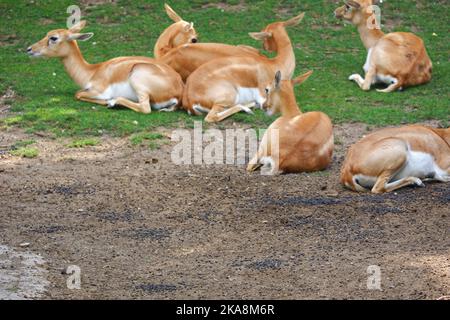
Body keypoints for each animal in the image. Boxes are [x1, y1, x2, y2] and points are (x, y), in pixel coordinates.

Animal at [27, 21, 183, 114]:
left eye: (53, 38)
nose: (29, 49)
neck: (92, 71)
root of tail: (179, 91)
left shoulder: (99, 91)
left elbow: (78, 94)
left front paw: (108, 101)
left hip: (139, 79)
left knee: (145, 108)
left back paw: (113, 103)